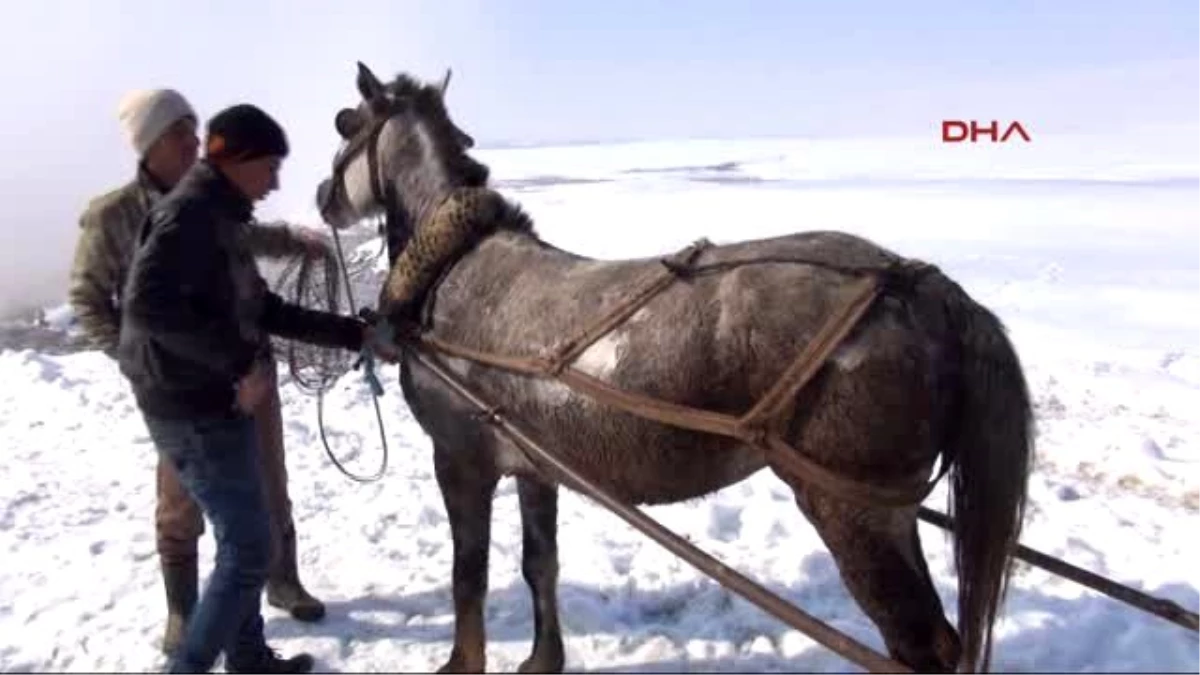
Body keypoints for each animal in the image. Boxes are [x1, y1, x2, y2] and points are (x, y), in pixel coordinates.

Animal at [316, 60, 1032, 667]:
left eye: (346, 124)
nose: (324, 195)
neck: (450, 272)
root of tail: (924, 287)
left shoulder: (461, 461)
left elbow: (469, 577)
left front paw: (462, 662)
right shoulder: (533, 467)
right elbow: (538, 565)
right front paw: (543, 660)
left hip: (852, 512)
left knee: (920, 646)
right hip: (887, 513)